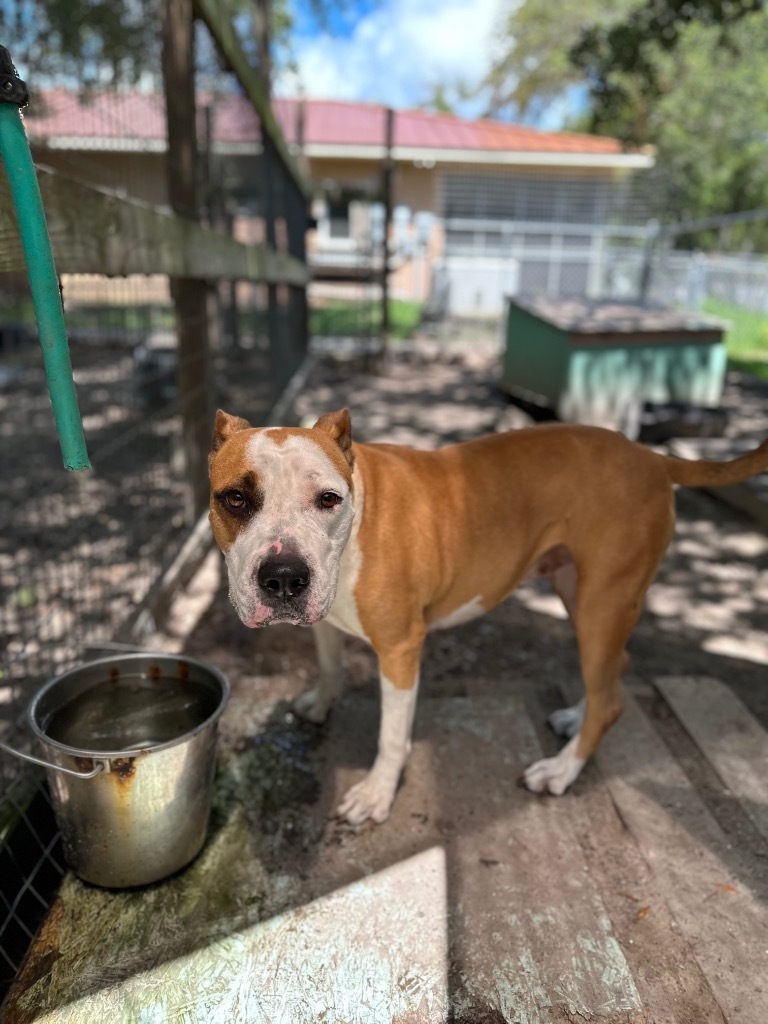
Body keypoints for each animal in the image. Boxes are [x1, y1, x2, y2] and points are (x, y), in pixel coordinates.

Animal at [208, 405, 768, 823]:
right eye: (234, 499)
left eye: (328, 499)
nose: (284, 576)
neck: (357, 513)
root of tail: (651, 455)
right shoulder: (325, 616)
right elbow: (330, 663)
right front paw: (322, 702)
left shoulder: (400, 648)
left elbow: (391, 735)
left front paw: (376, 794)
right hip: (583, 594)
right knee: (614, 672)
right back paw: (574, 718)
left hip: (602, 601)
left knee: (610, 700)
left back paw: (561, 770)